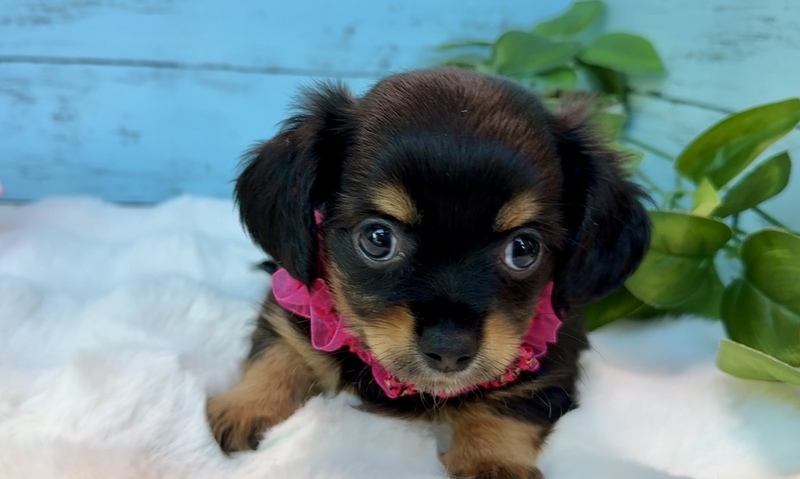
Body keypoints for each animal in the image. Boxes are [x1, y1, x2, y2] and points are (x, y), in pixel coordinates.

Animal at [207, 68, 651, 478]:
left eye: (524, 249)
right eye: (378, 238)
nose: (449, 349)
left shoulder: (556, 360)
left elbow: (509, 406)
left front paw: (492, 462)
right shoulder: (293, 308)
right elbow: (280, 352)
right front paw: (245, 406)